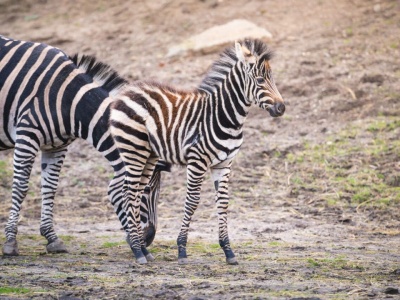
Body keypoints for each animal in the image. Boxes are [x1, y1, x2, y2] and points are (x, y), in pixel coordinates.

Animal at [0, 34, 167, 255]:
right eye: (146, 191)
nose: (149, 239)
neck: (69, 100)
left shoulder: (57, 146)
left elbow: (50, 187)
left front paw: (52, 238)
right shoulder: (27, 135)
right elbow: (20, 186)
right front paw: (11, 241)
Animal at [109, 38, 284, 264]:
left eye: (272, 79)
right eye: (261, 80)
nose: (281, 108)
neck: (226, 117)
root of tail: (128, 90)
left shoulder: (224, 164)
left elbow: (223, 203)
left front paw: (228, 251)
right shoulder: (197, 160)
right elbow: (192, 202)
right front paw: (182, 250)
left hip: (149, 155)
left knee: (136, 192)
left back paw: (143, 250)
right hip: (133, 149)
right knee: (128, 192)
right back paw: (138, 251)